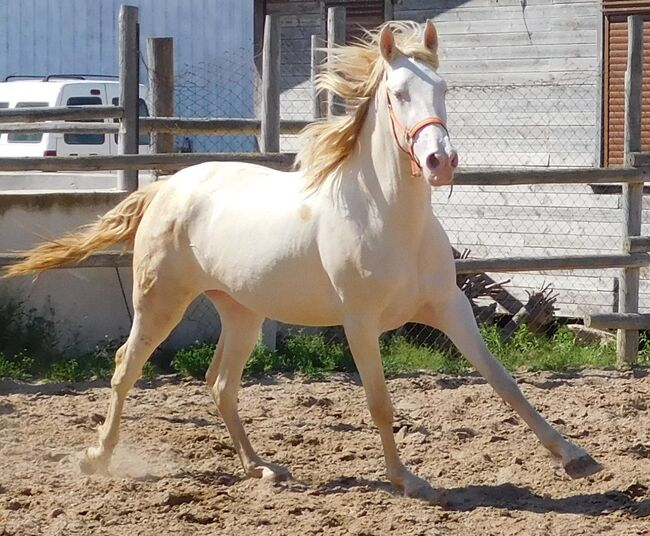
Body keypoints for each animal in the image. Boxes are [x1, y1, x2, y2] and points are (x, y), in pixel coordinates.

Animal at [6, 19, 604, 498]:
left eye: (443, 89)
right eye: (398, 94)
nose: (440, 161)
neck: (390, 221)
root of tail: (167, 187)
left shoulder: (450, 307)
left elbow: (505, 382)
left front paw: (577, 459)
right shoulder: (360, 323)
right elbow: (380, 402)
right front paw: (408, 480)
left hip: (241, 311)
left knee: (219, 384)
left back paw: (262, 468)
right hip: (161, 301)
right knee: (125, 368)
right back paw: (99, 458)